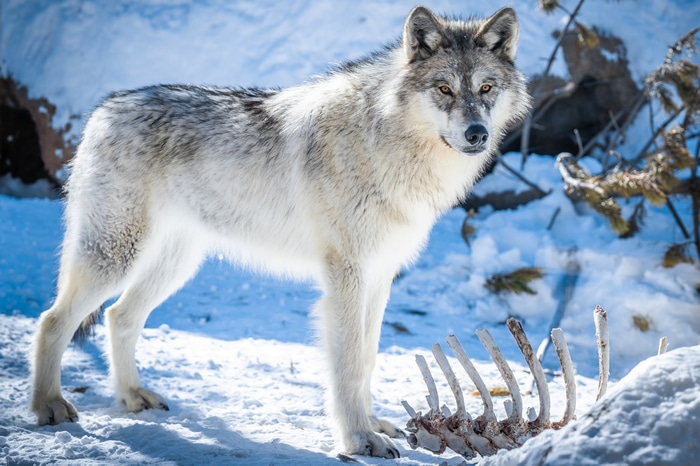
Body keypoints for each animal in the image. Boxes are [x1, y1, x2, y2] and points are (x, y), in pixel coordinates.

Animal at [31, 5, 530, 458]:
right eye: (444, 89)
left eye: (485, 88)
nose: (477, 134)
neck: (387, 143)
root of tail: (103, 110)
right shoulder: (346, 278)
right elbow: (348, 365)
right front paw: (359, 440)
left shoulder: (380, 276)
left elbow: (368, 358)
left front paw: (373, 425)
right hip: (115, 258)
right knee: (53, 320)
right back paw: (49, 406)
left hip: (173, 265)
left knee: (119, 316)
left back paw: (133, 397)